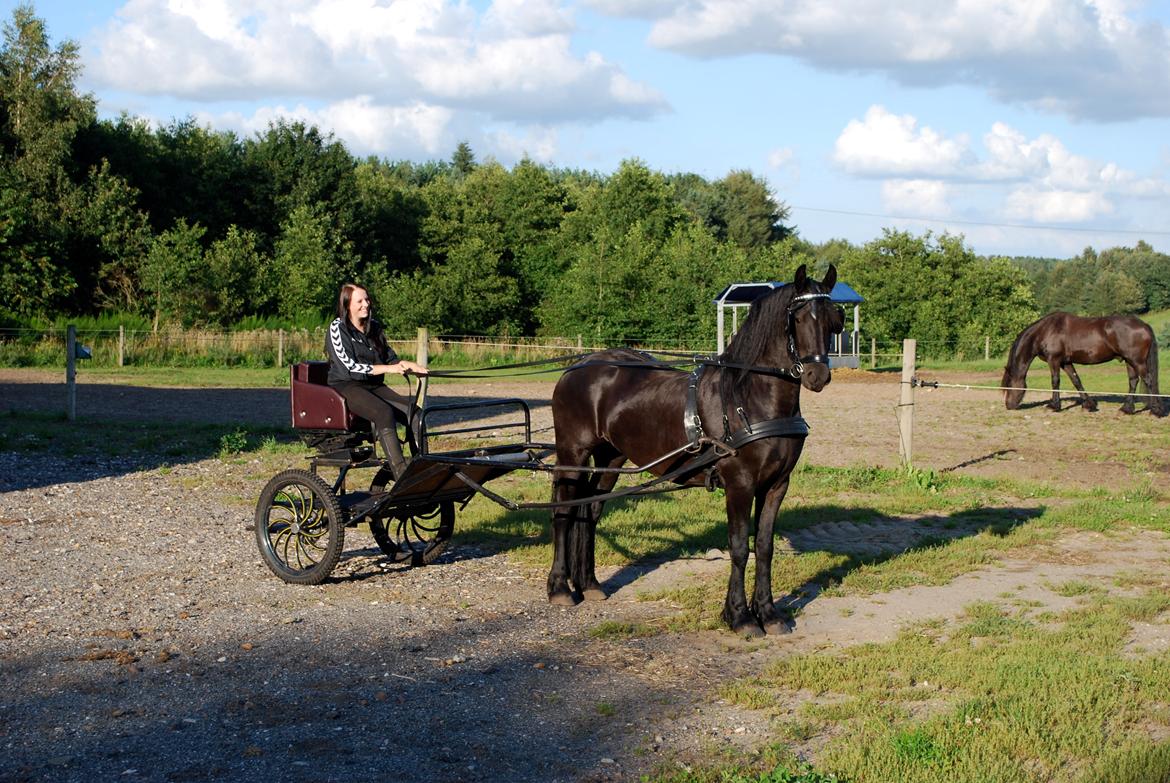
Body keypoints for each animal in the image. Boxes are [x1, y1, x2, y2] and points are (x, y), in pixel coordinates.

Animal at [547, 262, 842, 636]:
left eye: (834, 318)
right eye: (799, 318)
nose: (818, 376)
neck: (749, 399)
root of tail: (580, 365)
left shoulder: (777, 485)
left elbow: (764, 547)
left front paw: (769, 614)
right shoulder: (740, 484)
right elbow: (738, 548)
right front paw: (740, 617)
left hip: (609, 458)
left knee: (589, 511)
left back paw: (589, 585)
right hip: (573, 453)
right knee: (564, 511)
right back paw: (560, 588)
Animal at [1001, 308, 1165, 414]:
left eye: (1008, 384)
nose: (1008, 405)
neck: (1045, 330)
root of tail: (1144, 325)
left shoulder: (1054, 360)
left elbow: (1055, 381)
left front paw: (1054, 406)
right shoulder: (1065, 362)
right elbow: (1076, 380)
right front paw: (1088, 405)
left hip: (1137, 361)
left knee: (1148, 380)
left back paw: (1156, 410)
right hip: (1129, 361)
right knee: (1133, 381)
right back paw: (1127, 409)